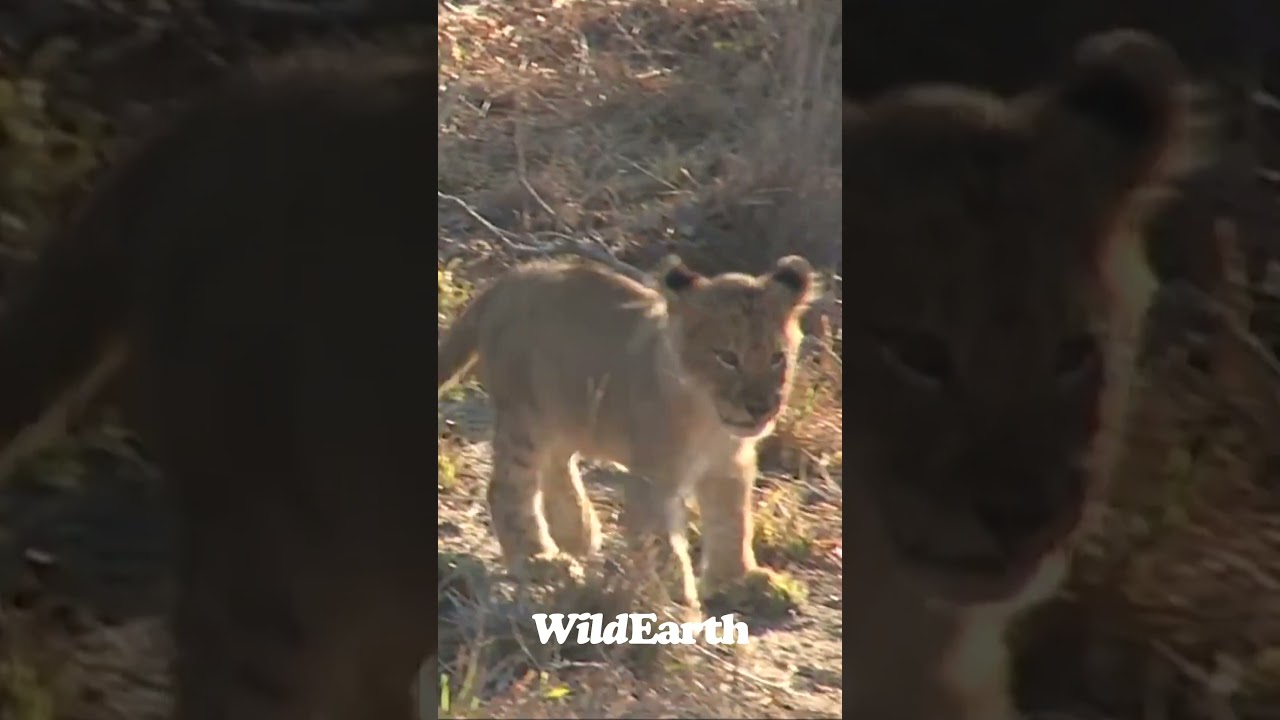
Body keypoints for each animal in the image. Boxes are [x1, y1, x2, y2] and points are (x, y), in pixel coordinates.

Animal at [436, 254, 816, 613]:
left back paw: (577, 532)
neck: (710, 422)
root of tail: (507, 280)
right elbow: (661, 538)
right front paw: (674, 598)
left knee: (557, 461)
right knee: (507, 488)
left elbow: (733, 525)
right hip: (523, 416)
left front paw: (743, 580)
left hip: (565, 412)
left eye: (777, 358)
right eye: (727, 357)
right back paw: (539, 558)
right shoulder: (654, 475)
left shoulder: (731, 466)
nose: (760, 407)